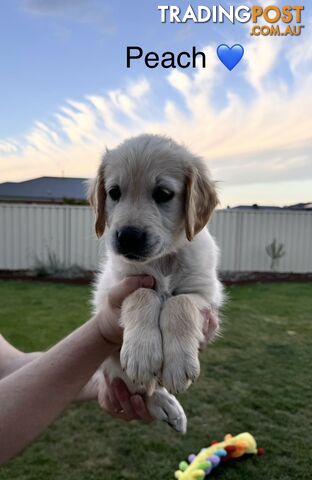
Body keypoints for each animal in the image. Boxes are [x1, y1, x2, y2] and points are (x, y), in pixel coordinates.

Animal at [89, 133, 223, 434]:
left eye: (163, 194)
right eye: (114, 192)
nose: (128, 237)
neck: (163, 260)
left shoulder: (206, 293)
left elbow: (179, 302)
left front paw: (179, 362)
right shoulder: (119, 284)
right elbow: (143, 295)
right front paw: (141, 353)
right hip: (112, 364)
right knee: (142, 389)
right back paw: (165, 404)